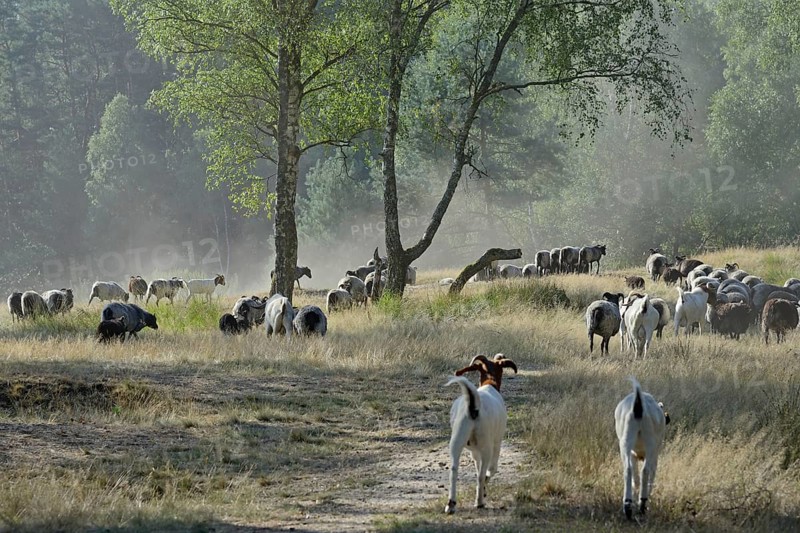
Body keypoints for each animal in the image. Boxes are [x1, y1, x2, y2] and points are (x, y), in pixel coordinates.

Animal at [445, 354, 517, 514]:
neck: (490, 383)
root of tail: (473, 407)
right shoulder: (496, 443)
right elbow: (490, 471)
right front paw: (483, 491)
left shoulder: (474, 451)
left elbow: (478, 469)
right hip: (487, 446)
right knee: (483, 473)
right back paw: (479, 502)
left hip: (456, 442)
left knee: (454, 470)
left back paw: (451, 504)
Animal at [615, 378, 669, 519]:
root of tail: (638, 407)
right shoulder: (655, 455)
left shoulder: (632, 454)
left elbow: (635, 478)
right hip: (651, 443)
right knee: (646, 470)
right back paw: (642, 504)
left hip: (625, 441)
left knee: (628, 470)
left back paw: (628, 505)